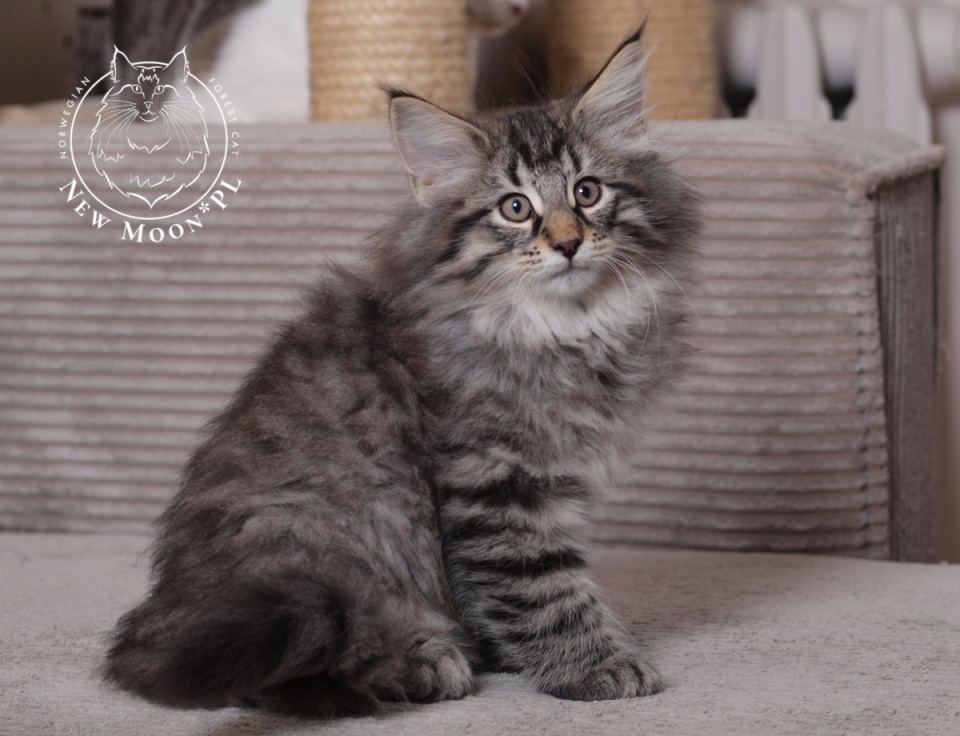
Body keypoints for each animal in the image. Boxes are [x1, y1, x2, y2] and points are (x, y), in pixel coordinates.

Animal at [103, 27, 699, 716]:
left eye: (587, 192)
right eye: (515, 207)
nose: (568, 242)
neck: (558, 328)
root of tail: (161, 618)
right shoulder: (494, 482)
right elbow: (542, 587)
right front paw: (595, 664)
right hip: (325, 549)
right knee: (289, 669)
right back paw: (421, 664)